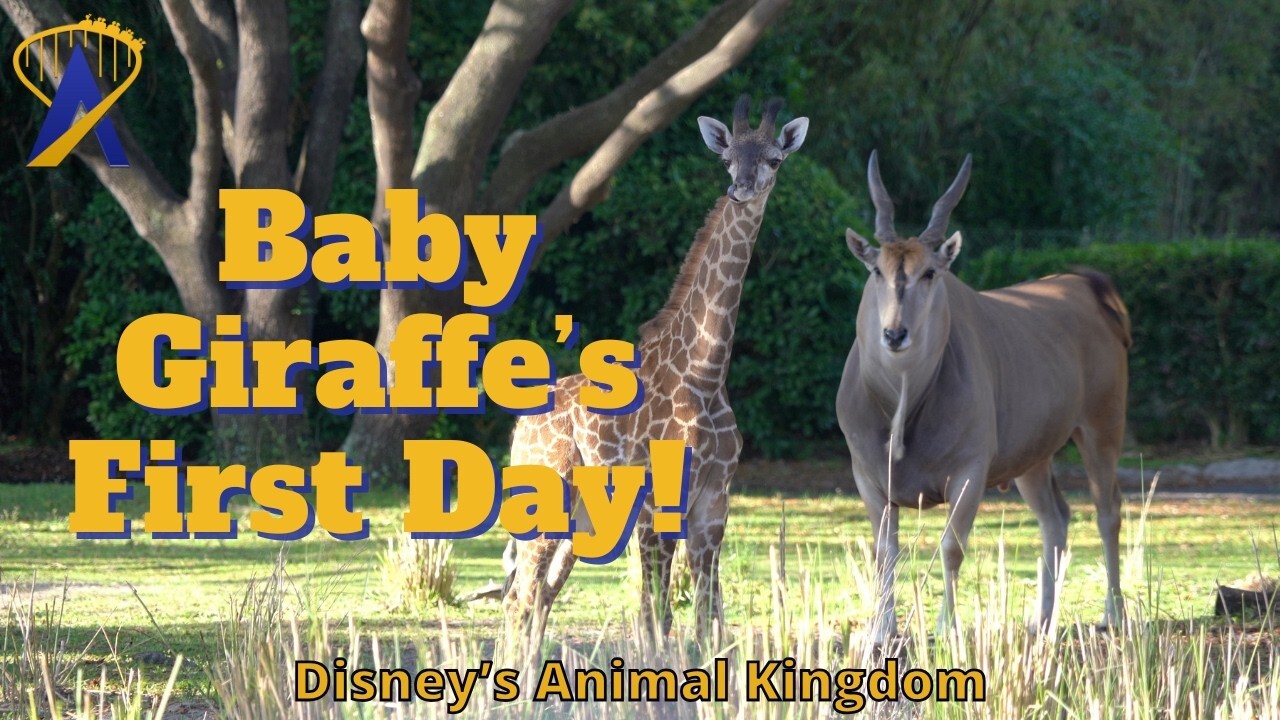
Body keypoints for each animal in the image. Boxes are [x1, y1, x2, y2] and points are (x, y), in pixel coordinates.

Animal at [500, 95, 809, 663]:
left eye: (775, 159)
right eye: (727, 159)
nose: (741, 189)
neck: (705, 373)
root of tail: (520, 427)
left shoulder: (713, 504)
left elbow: (707, 617)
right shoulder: (658, 503)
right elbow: (657, 614)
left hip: (579, 520)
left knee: (539, 597)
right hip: (546, 500)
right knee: (522, 596)